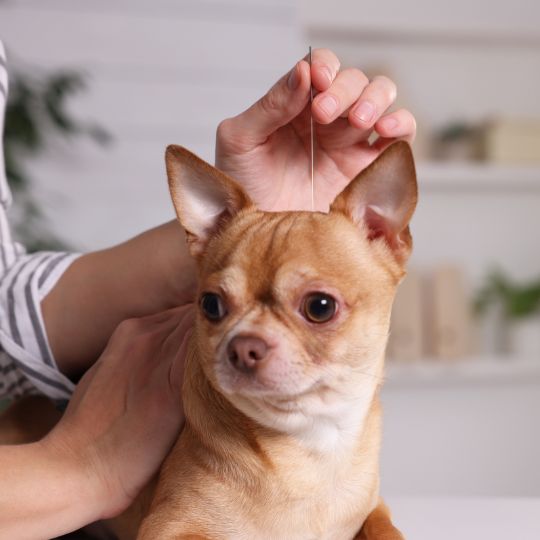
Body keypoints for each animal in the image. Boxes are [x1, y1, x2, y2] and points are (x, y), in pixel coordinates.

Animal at [125, 140, 414, 540]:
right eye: (210, 305)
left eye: (320, 307)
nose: (243, 347)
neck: (310, 443)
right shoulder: (167, 527)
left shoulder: (374, 509)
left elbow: (387, 531)